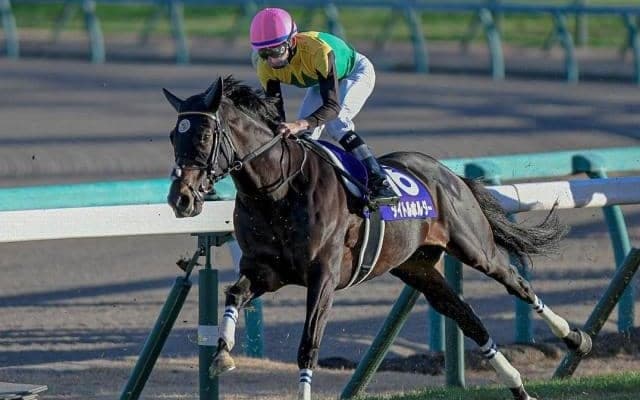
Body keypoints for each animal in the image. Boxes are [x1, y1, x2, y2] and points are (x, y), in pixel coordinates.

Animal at [163, 76, 591, 400]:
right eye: (172, 136)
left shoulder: (323, 276)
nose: (180, 198)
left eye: (204, 136)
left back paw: (577, 339)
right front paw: (222, 354)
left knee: (516, 283)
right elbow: (233, 294)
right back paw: (519, 387)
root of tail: (447, 172)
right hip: (419, 269)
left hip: (473, 247)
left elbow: (308, 347)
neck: (279, 190)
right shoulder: (266, 271)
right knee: (469, 320)